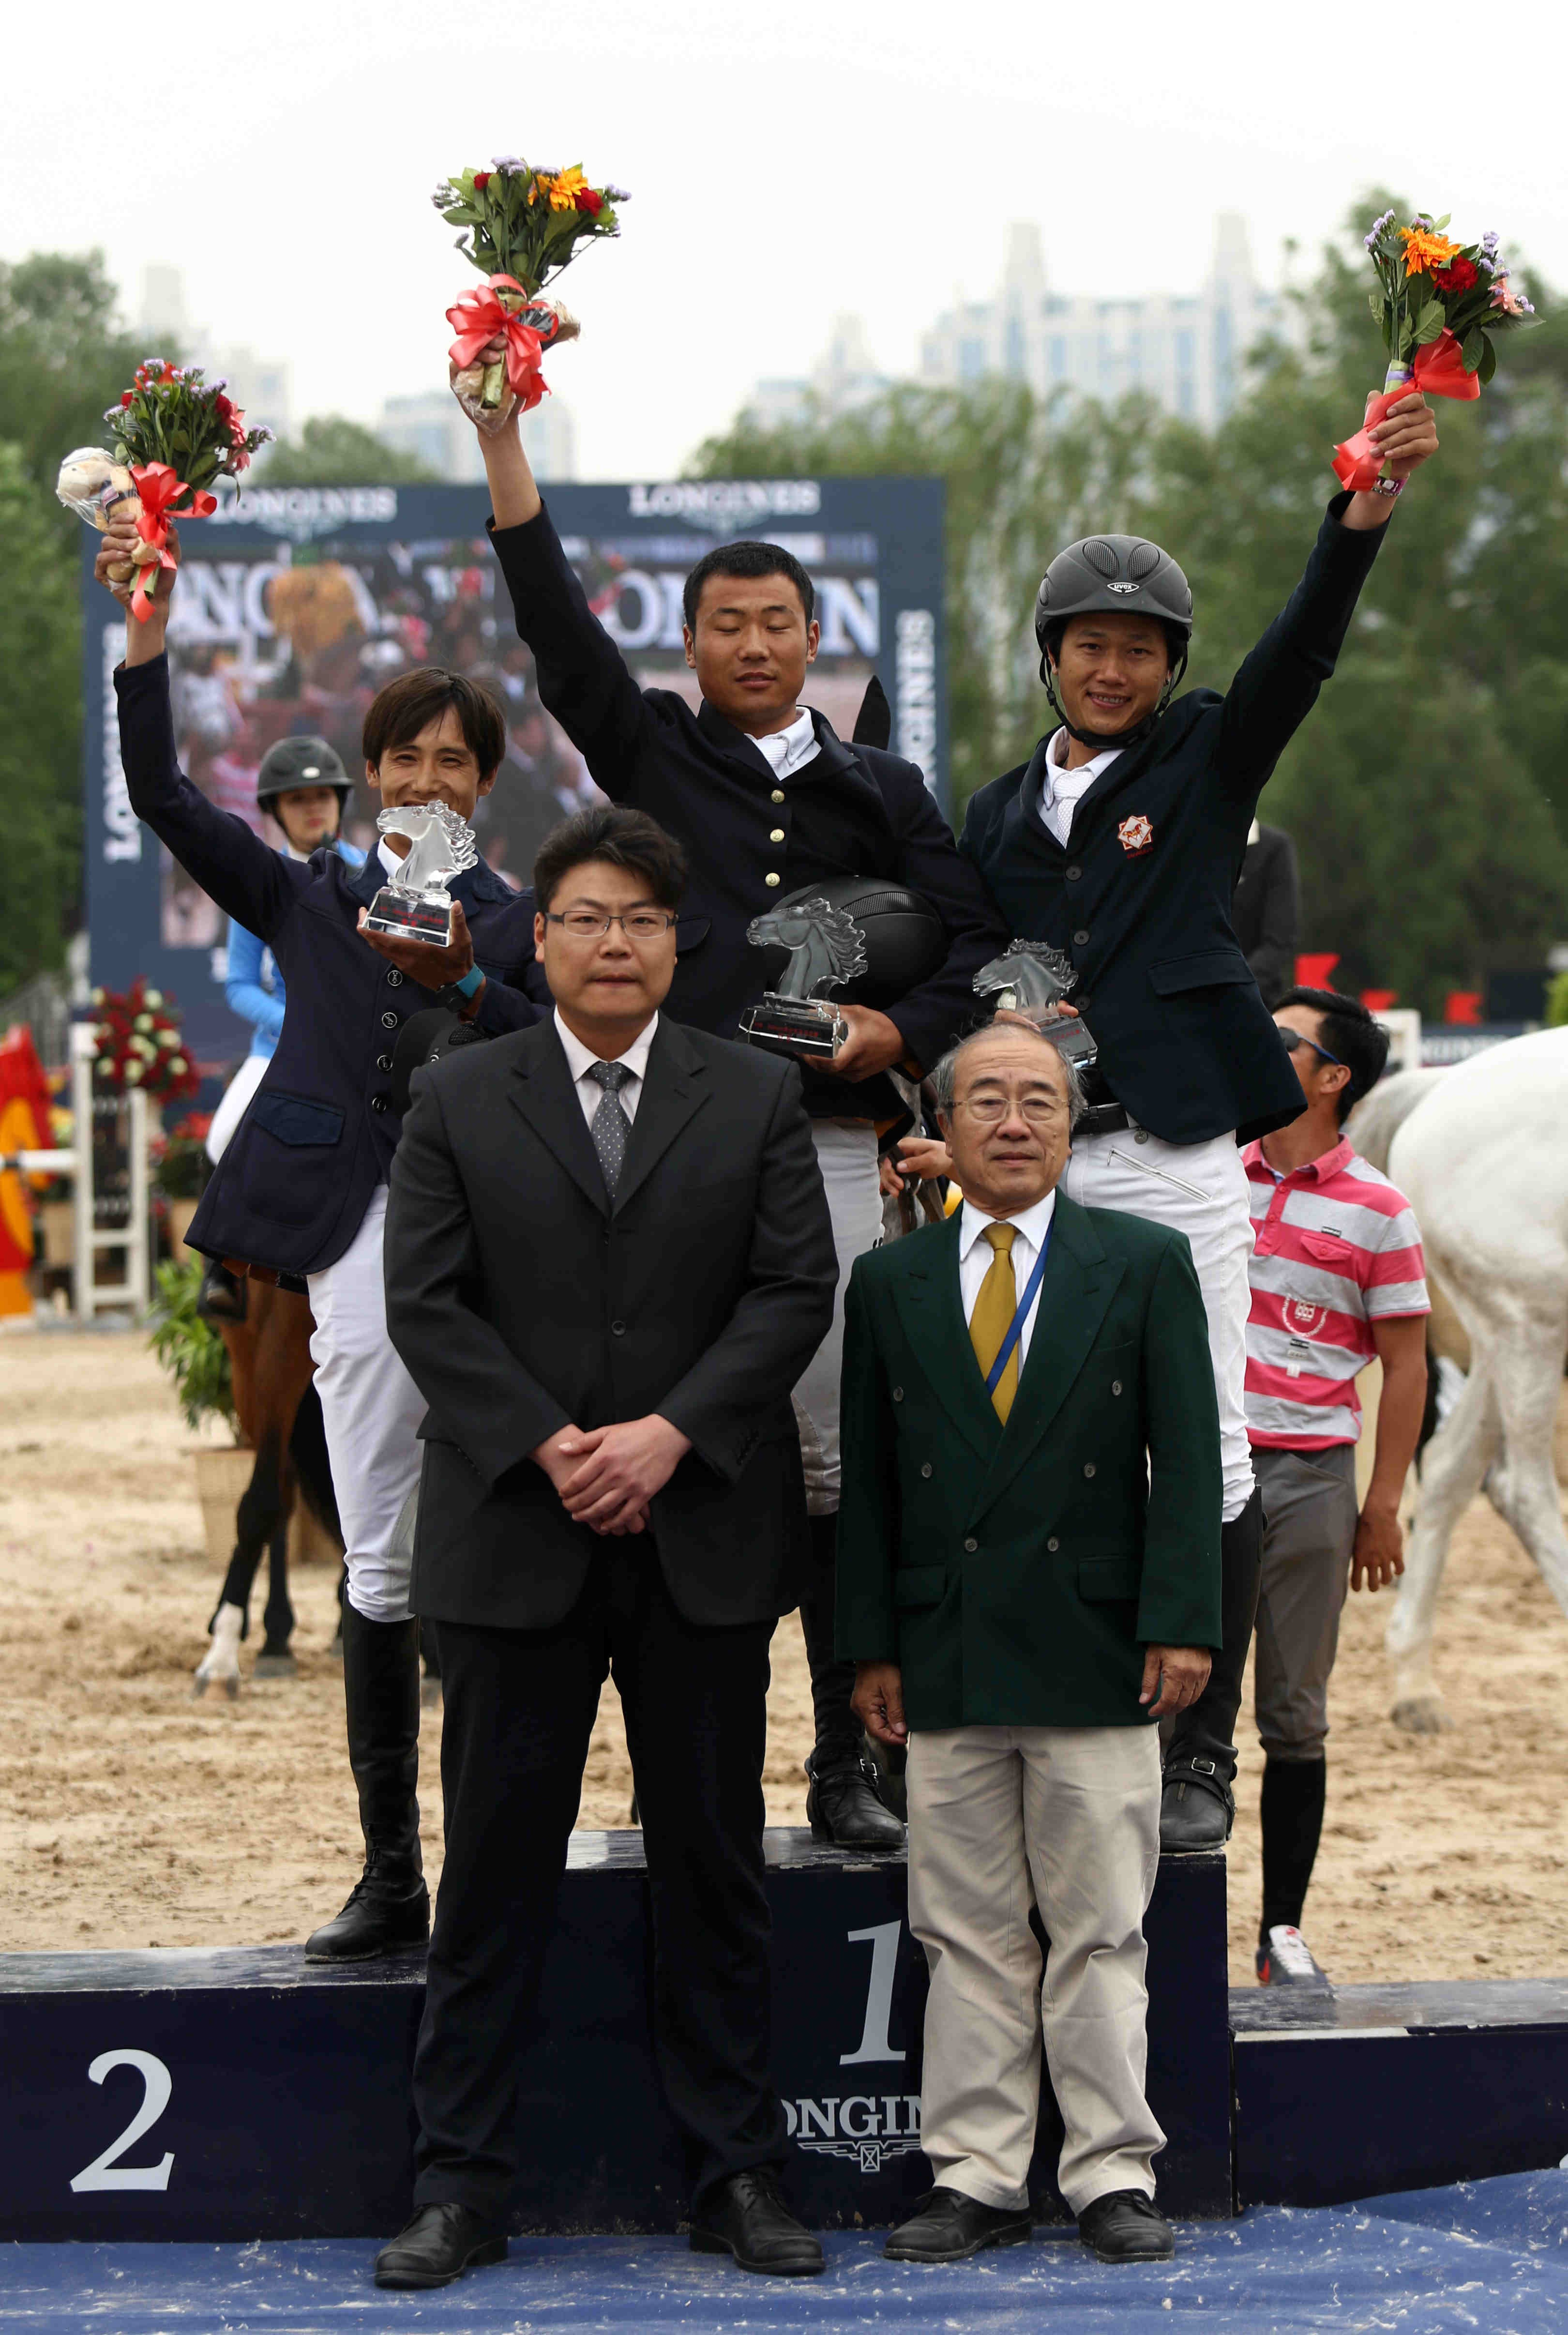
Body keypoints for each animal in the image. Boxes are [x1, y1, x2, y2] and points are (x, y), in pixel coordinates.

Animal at [1344, 1032, 1568, 1728]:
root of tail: (1442, 1088)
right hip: (1529, 1322)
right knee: (1527, 1490)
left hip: (1505, 1336)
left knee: (1450, 1466)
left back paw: (1415, 1681)